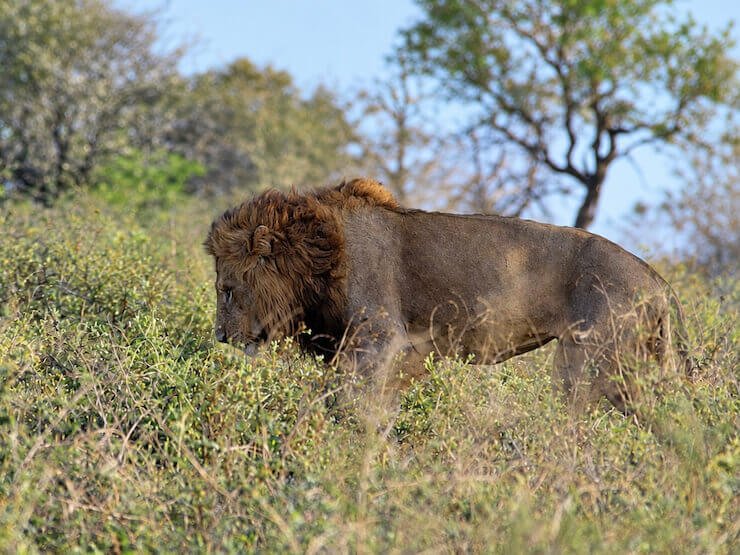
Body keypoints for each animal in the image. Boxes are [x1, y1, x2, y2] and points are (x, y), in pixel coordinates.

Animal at [204, 178, 690, 412]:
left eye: (226, 290)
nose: (221, 337)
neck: (319, 256)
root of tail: (656, 280)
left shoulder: (379, 340)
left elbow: (347, 402)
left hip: (586, 360)